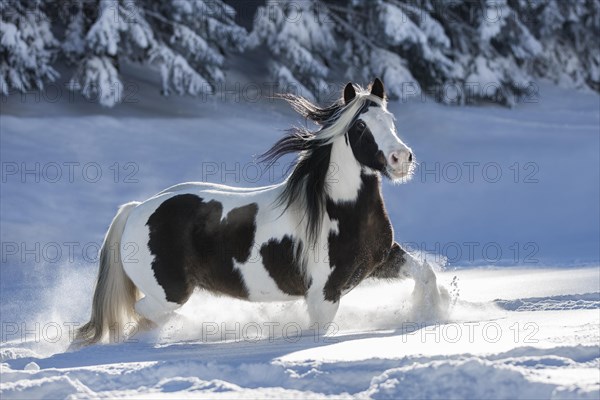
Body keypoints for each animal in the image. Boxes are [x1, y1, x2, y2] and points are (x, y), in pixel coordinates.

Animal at [76, 79, 446, 346]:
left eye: (391, 121)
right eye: (360, 128)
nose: (401, 159)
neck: (340, 211)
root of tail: (136, 210)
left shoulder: (382, 260)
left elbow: (426, 273)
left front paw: (431, 314)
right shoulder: (323, 295)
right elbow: (319, 332)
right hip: (169, 294)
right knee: (141, 313)